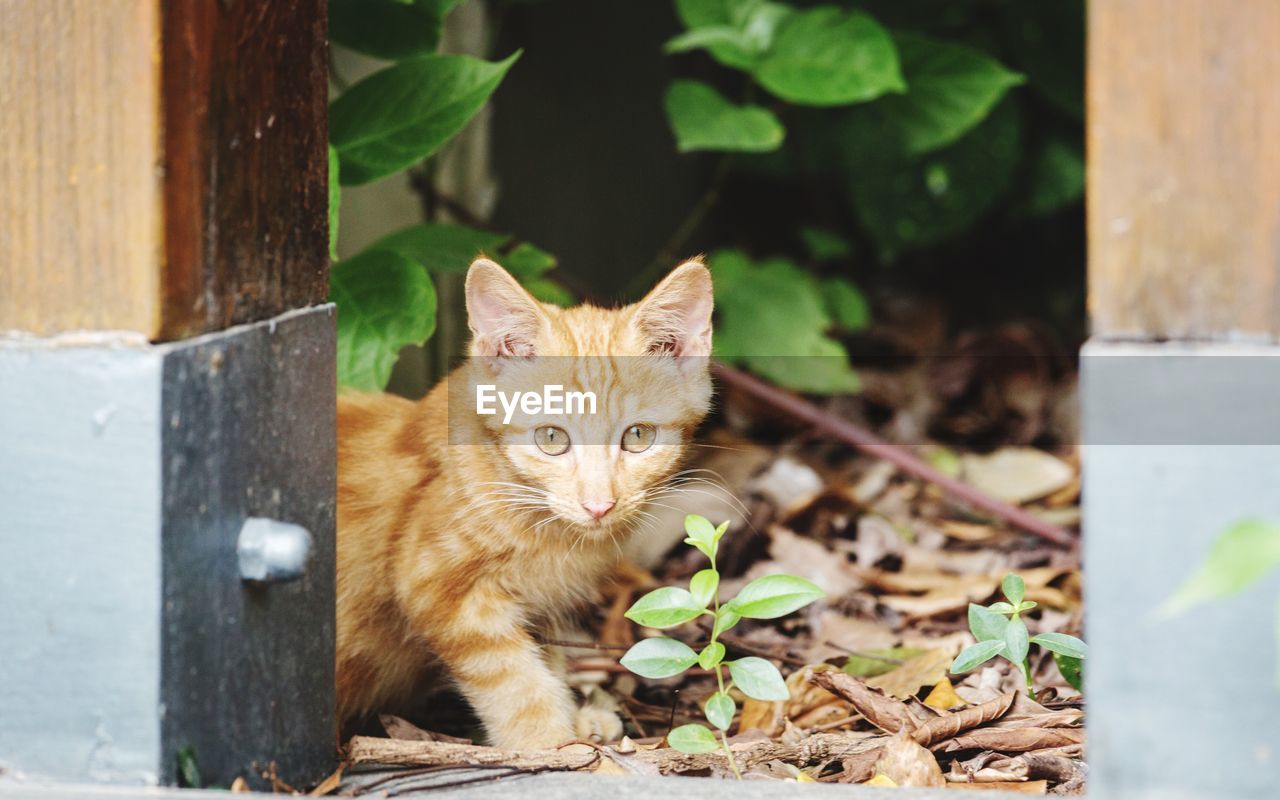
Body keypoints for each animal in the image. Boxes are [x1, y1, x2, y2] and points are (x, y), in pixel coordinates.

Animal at [335, 257, 716, 747]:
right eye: (551, 438)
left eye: (638, 436)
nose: (599, 505)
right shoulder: (435, 584)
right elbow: (513, 681)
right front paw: (552, 744)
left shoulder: (540, 604)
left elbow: (544, 658)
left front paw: (577, 722)